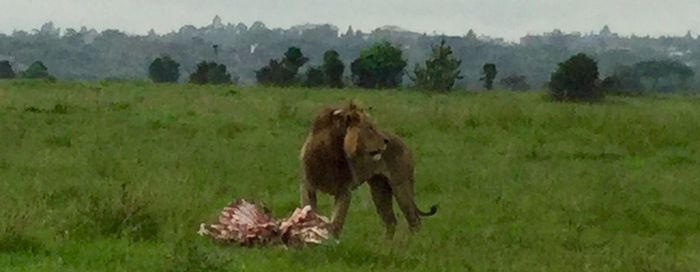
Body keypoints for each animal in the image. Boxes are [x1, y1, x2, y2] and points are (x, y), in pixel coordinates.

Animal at [298, 101, 434, 238]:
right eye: (370, 127)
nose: (386, 141)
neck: (329, 152)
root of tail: (403, 143)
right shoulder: (308, 186)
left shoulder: (344, 190)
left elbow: (336, 223)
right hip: (379, 190)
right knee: (390, 221)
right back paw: (386, 243)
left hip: (401, 186)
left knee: (414, 220)